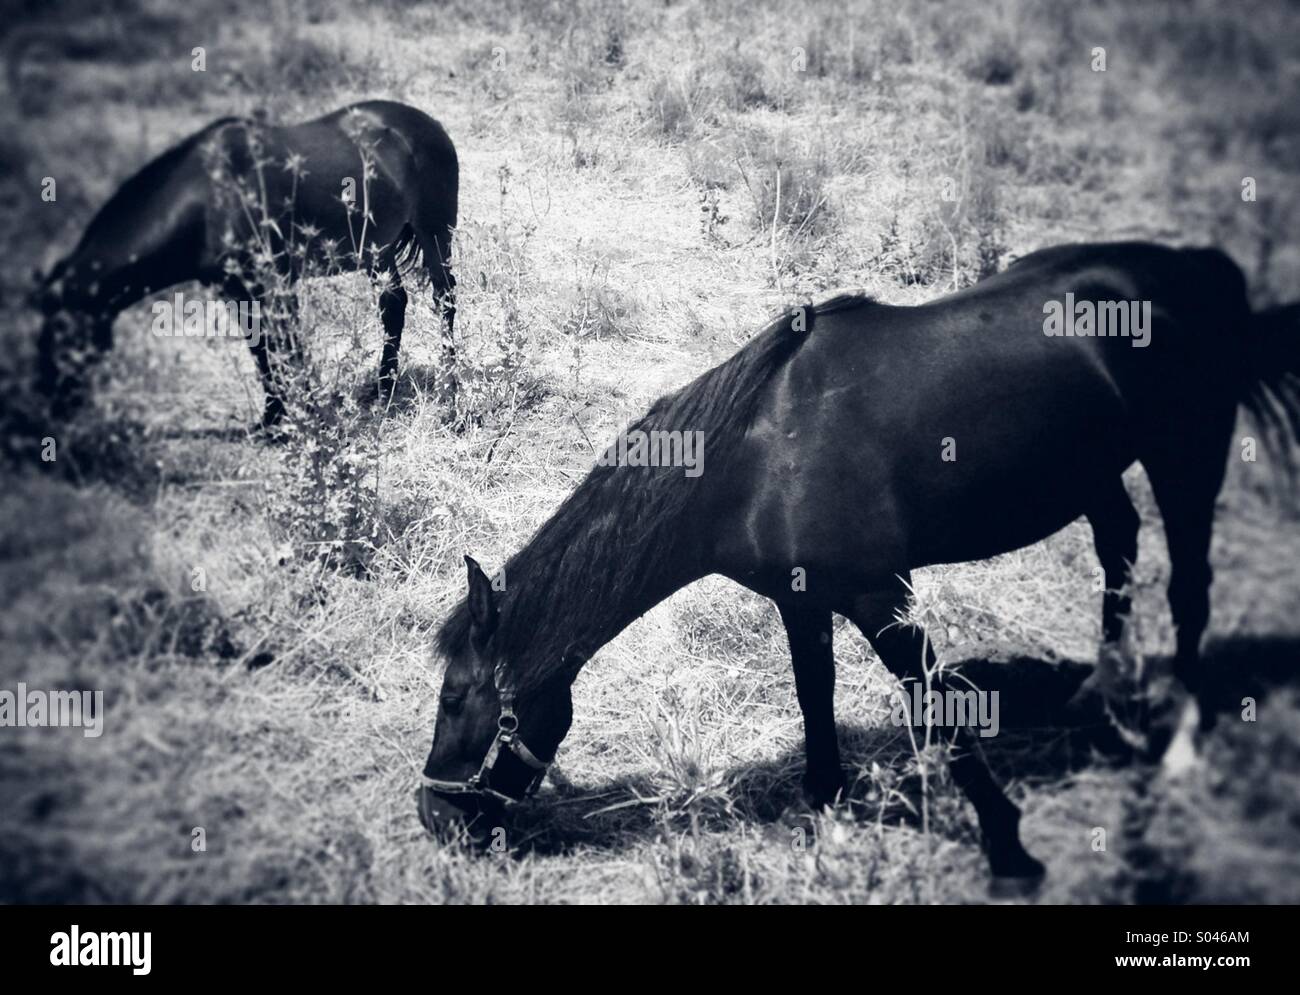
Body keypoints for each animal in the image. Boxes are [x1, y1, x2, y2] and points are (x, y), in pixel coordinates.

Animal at [31, 99, 458, 428]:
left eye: (61, 341)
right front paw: (273, 419)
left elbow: (285, 348)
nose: (46, 411)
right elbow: (261, 348)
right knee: (393, 305)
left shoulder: (272, 284)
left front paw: (300, 417)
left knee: (445, 301)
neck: (209, 196)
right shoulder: (235, 287)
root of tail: (429, 125)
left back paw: (450, 391)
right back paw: (384, 388)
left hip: (435, 234)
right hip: (376, 249)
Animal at [417, 242, 1299, 893]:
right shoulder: (802, 602)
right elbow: (816, 695)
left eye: (456, 698)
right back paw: (1102, 689)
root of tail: (1192, 266)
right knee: (1118, 544)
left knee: (1189, 587)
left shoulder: (884, 601)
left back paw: (1178, 741)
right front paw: (827, 804)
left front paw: (1009, 848)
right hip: (1093, 473)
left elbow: (938, 709)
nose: (435, 820)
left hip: (1188, 460)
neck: (757, 460)